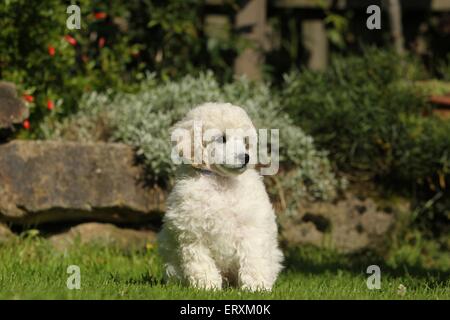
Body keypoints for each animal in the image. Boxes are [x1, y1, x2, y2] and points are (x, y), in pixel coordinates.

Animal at [158, 103, 284, 292]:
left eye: (245, 141)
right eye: (222, 138)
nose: (246, 157)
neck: (222, 181)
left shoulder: (251, 227)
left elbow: (253, 257)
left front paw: (256, 286)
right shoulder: (192, 231)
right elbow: (199, 261)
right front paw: (207, 285)